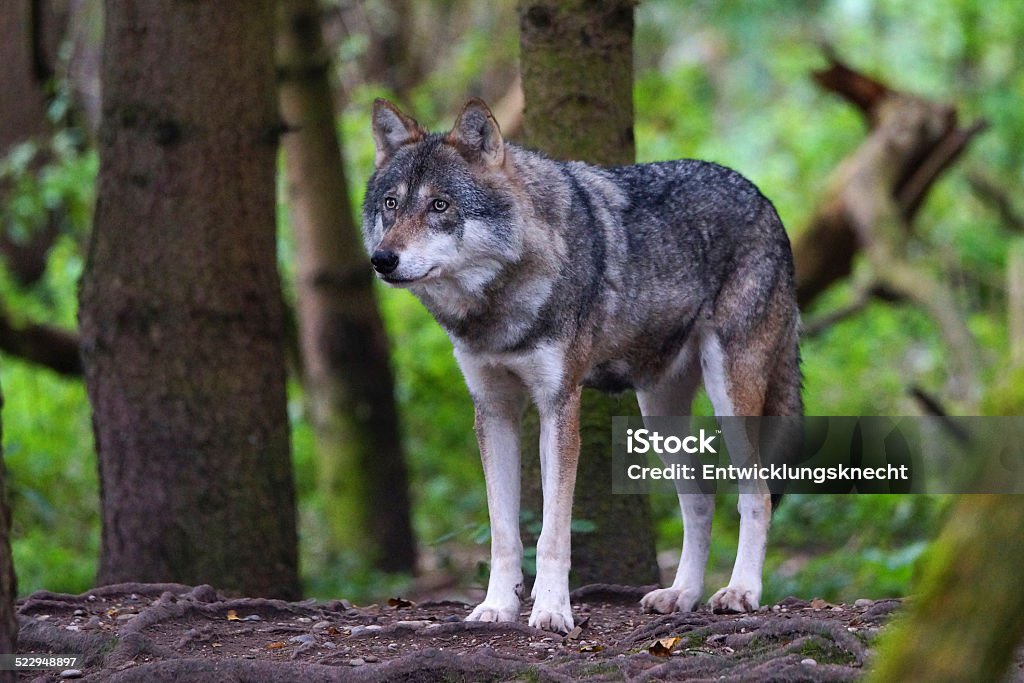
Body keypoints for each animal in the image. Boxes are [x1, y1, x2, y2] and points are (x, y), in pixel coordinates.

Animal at [361, 98, 802, 633]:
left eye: (439, 206)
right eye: (391, 204)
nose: (382, 259)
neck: (498, 304)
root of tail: (763, 198)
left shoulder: (559, 405)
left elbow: (553, 534)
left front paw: (552, 611)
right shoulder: (493, 410)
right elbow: (504, 532)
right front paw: (497, 606)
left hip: (730, 399)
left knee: (756, 495)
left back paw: (740, 592)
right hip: (659, 417)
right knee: (700, 499)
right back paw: (681, 594)